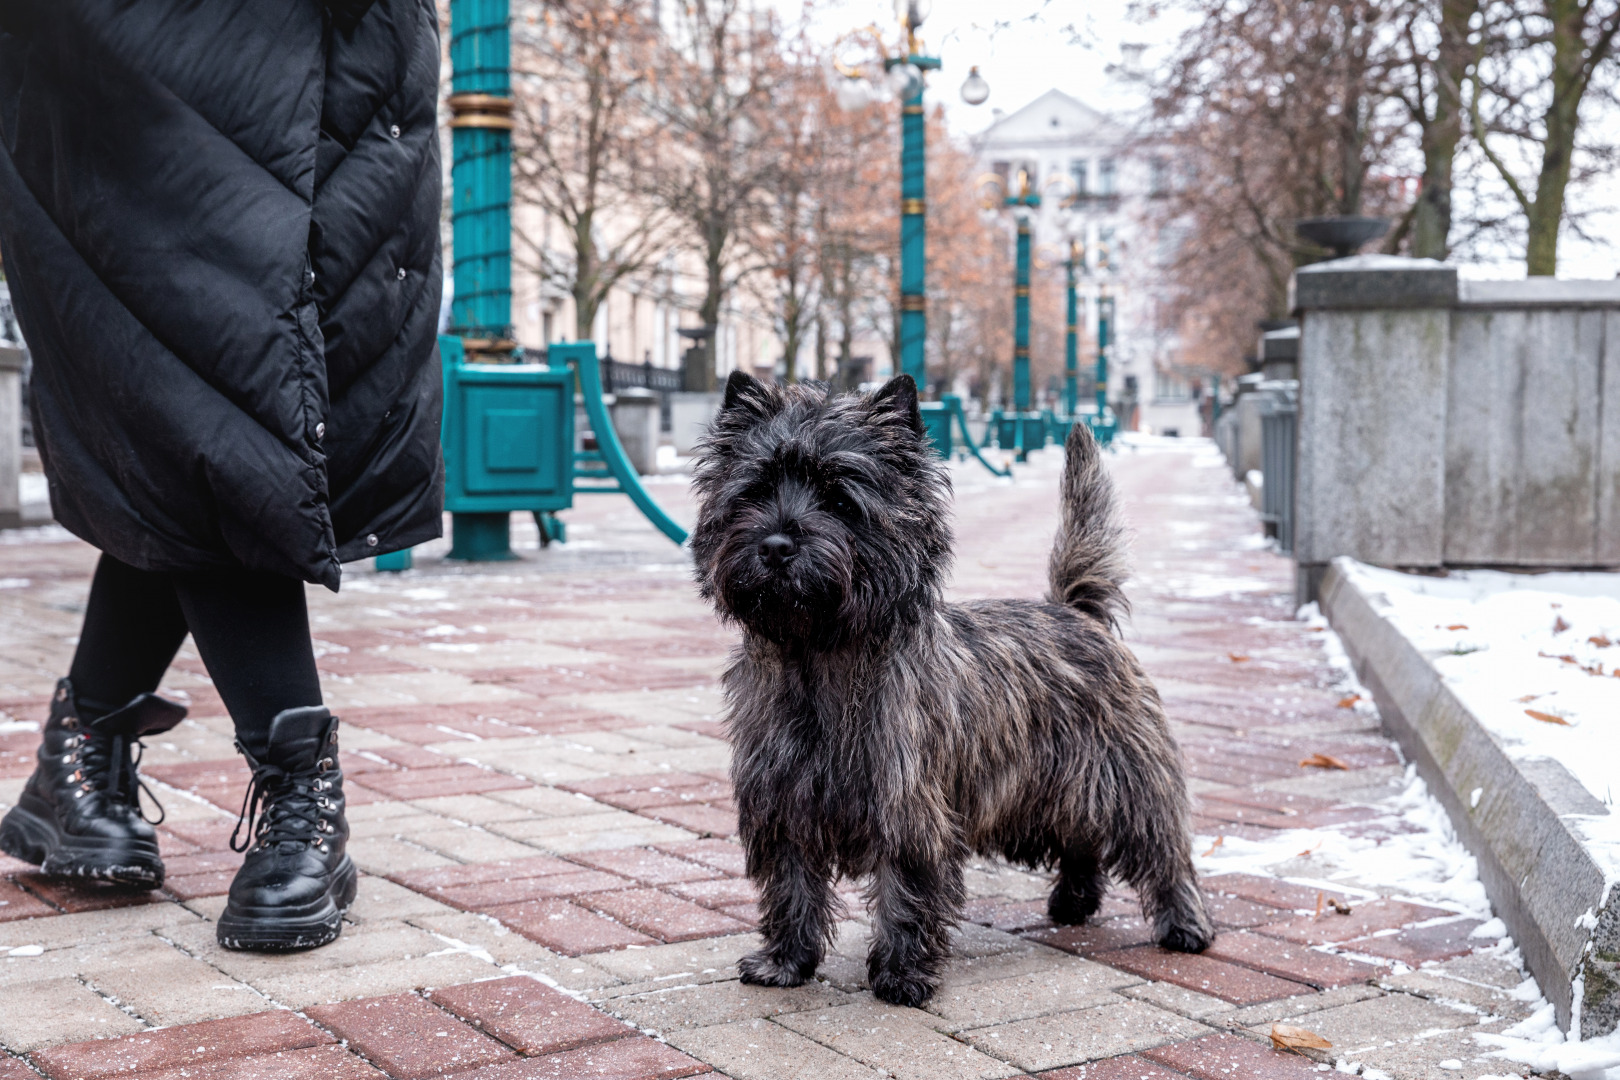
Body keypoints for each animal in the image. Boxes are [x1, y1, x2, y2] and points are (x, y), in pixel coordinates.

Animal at [690, 369, 1211, 1003]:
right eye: (755, 492)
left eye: (840, 500)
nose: (775, 545)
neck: (819, 658)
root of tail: (1077, 611)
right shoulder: (782, 803)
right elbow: (792, 887)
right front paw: (785, 962)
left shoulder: (909, 807)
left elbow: (904, 891)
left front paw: (900, 976)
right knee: (1082, 839)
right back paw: (1073, 902)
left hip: (1127, 774)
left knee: (1163, 849)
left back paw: (1185, 926)